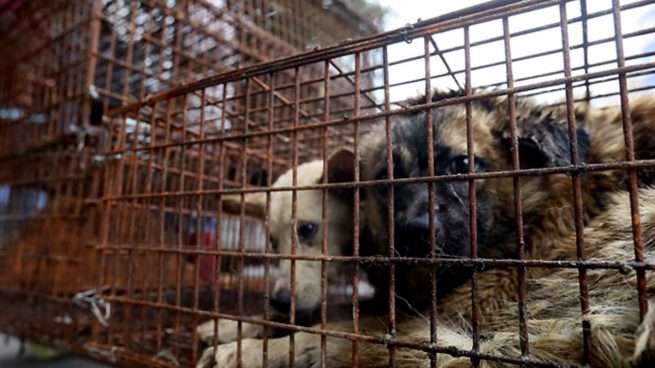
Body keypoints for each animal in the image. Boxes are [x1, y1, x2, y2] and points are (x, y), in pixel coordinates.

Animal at [1, 0, 655, 368]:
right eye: (386, 178)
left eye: (462, 165)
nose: (411, 233)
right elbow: (337, 313)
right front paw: (240, 324)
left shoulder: (467, 320)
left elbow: (339, 332)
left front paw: (246, 346)